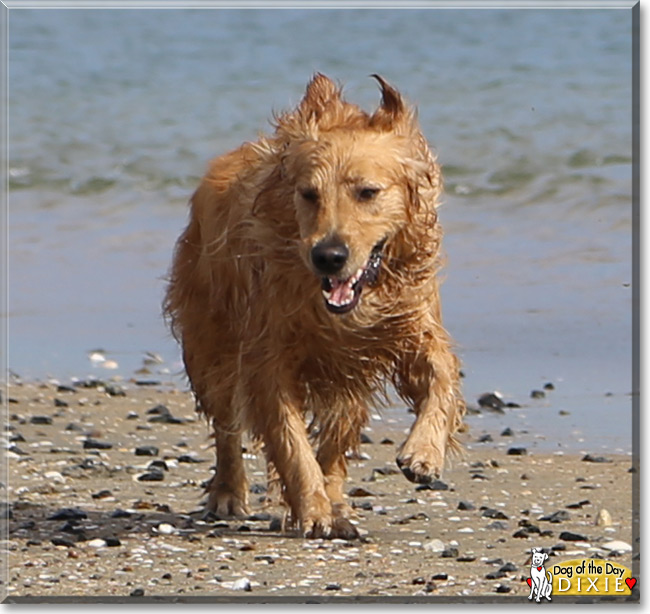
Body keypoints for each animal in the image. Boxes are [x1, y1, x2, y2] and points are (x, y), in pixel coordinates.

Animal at [165, 74, 464, 540]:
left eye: (367, 192)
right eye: (308, 194)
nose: (328, 256)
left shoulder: (408, 326)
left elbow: (441, 375)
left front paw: (423, 452)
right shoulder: (268, 356)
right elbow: (291, 443)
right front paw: (312, 508)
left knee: (337, 437)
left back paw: (337, 498)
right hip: (209, 337)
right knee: (226, 422)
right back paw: (229, 492)